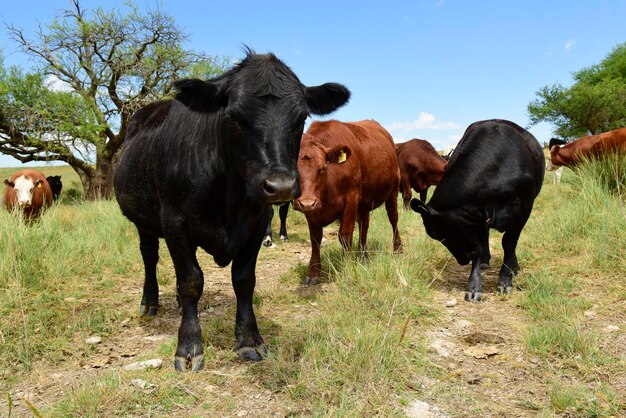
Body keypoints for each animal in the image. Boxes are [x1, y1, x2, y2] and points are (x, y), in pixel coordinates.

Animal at [114, 49, 348, 372]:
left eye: (301, 117)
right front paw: (189, 346)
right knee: (149, 256)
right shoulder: (174, 223)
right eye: (234, 116)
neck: (229, 197)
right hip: (143, 221)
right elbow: (191, 281)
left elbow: (243, 280)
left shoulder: (256, 223)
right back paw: (150, 301)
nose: (280, 185)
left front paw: (250, 340)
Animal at [292, 119, 400, 286]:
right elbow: (315, 239)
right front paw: (313, 272)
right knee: (364, 226)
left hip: (393, 189)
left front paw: (347, 266)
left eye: (323, 168)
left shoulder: (351, 199)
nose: (307, 202)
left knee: (393, 218)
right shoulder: (311, 212)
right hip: (364, 204)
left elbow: (344, 235)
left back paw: (397, 249)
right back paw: (363, 255)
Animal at [410, 120, 540, 300]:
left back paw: (514, 268)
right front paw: (474, 286)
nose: (462, 260)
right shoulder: (475, 216)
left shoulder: (525, 207)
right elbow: (479, 246)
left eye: (433, 233)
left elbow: (509, 242)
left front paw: (505, 281)